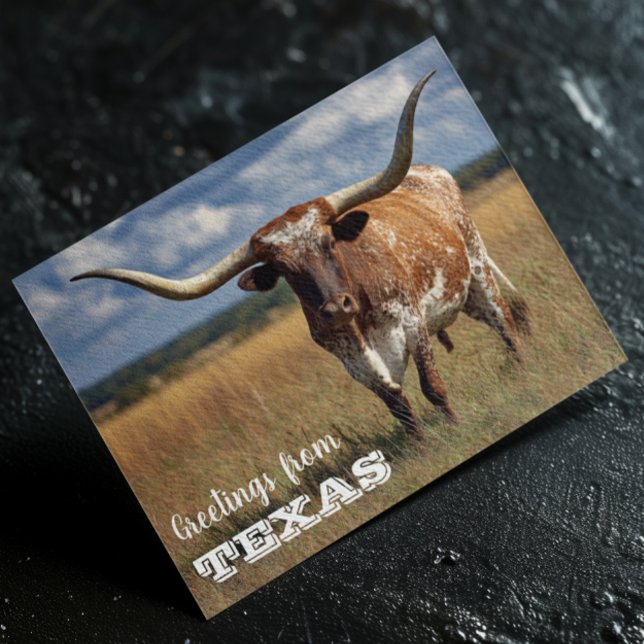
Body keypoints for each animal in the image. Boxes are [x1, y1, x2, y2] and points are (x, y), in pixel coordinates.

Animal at [72, 70, 529, 438]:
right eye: (284, 270)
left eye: (328, 243)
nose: (336, 307)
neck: (359, 321)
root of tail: (429, 172)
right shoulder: (352, 362)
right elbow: (398, 406)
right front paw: (421, 446)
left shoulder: (413, 323)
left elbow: (432, 386)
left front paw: (455, 427)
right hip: (462, 297)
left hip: (477, 267)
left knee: (505, 320)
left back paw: (523, 368)